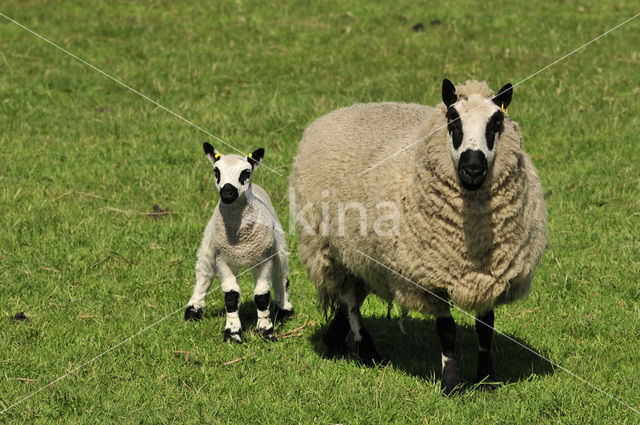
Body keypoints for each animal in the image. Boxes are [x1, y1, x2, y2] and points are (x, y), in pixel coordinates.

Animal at [184, 142, 294, 342]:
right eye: (216, 171)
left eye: (246, 172)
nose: (227, 192)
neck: (240, 240)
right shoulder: (224, 259)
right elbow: (231, 296)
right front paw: (232, 333)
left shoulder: (263, 260)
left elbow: (261, 296)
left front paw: (266, 331)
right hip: (210, 241)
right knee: (204, 273)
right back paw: (193, 310)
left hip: (277, 244)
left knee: (281, 275)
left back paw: (285, 309)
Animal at [292, 78, 548, 390]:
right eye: (452, 119)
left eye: (496, 122)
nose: (473, 169)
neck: (473, 237)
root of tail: (334, 114)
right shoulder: (430, 277)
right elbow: (447, 330)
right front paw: (451, 383)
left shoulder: (490, 276)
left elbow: (486, 328)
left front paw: (487, 379)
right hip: (329, 247)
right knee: (350, 301)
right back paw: (368, 353)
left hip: (360, 255)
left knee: (352, 294)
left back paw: (336, 341)